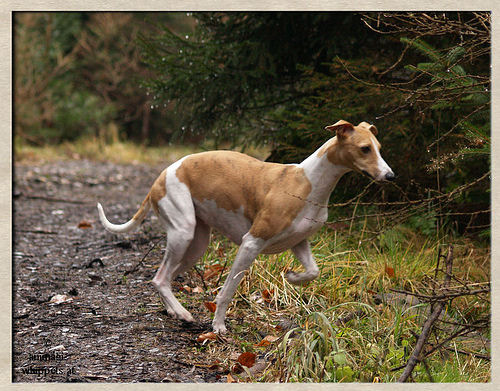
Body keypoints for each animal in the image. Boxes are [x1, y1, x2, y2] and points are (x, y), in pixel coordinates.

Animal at [96, 120, 394, 334]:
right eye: (365, 148)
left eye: (379, 147)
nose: (391, 176)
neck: (309, 182)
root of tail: (160, 177)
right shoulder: (251, 243)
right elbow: (227, 290)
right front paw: (218, 326)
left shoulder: (299, 242)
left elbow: (313, 271)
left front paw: (291, 277)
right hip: (183, 232)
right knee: (159, 278)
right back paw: (183, 313)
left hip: (197, 244)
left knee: (164, 278)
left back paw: (173, 311)